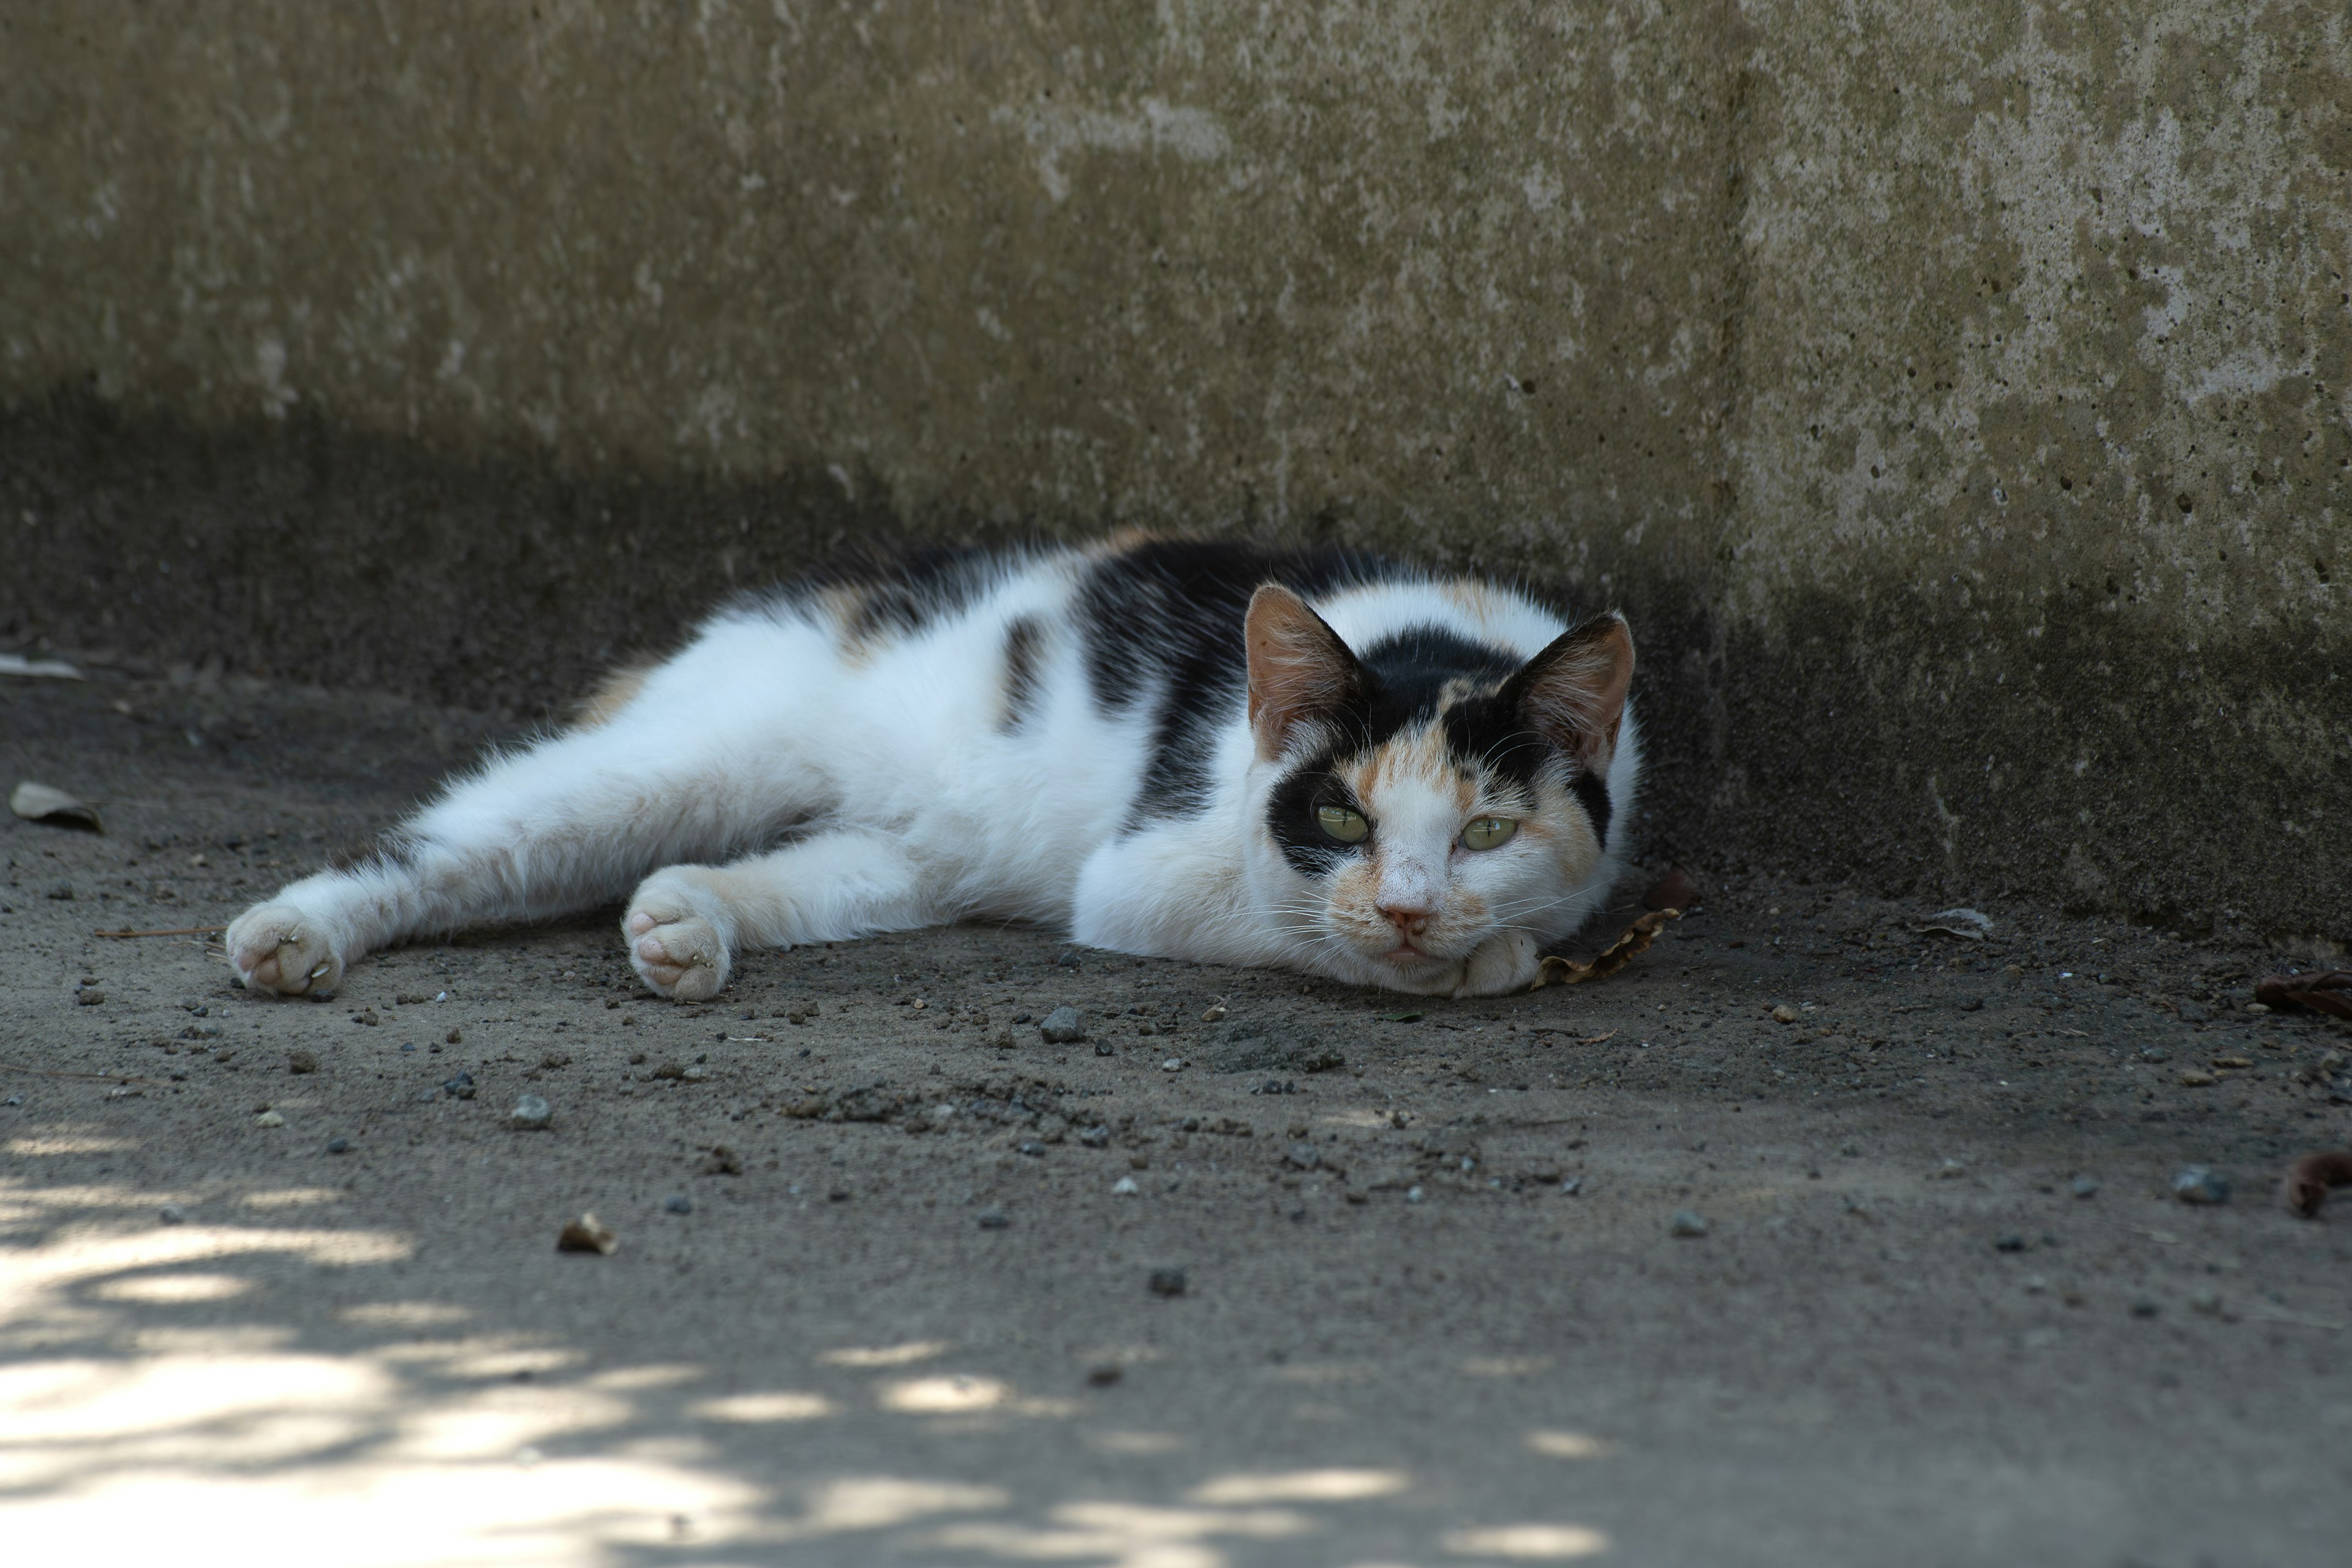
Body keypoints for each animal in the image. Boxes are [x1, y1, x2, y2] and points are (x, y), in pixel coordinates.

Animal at [229, 536, 1646, 1006]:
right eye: (1342, 816)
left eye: (1487, 832)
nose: (1409, 904)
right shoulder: (1143, 876)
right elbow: (1301, 926)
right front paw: (1476, 961)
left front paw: (1490, 942)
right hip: (667, 764)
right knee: (443, 848)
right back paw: (295, 933)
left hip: (896, 861)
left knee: (767, 875)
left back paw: (685, 927)